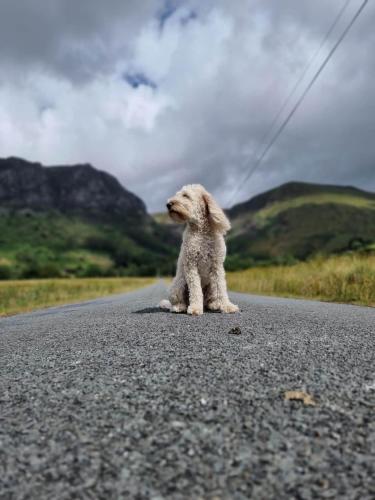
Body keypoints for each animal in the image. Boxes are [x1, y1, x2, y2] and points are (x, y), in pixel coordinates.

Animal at [160, 184, 239, 316]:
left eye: (185, 195)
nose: (168, 204)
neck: (201, 231)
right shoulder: (191, 265)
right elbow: (195, 290)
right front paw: (196, 308)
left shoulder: (217, 266)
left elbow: (221, 289)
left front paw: (227, 306)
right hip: (178, 284)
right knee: (179, 301)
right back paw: (179, 307)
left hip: (210, 286)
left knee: (210, 299)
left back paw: (214, 305)